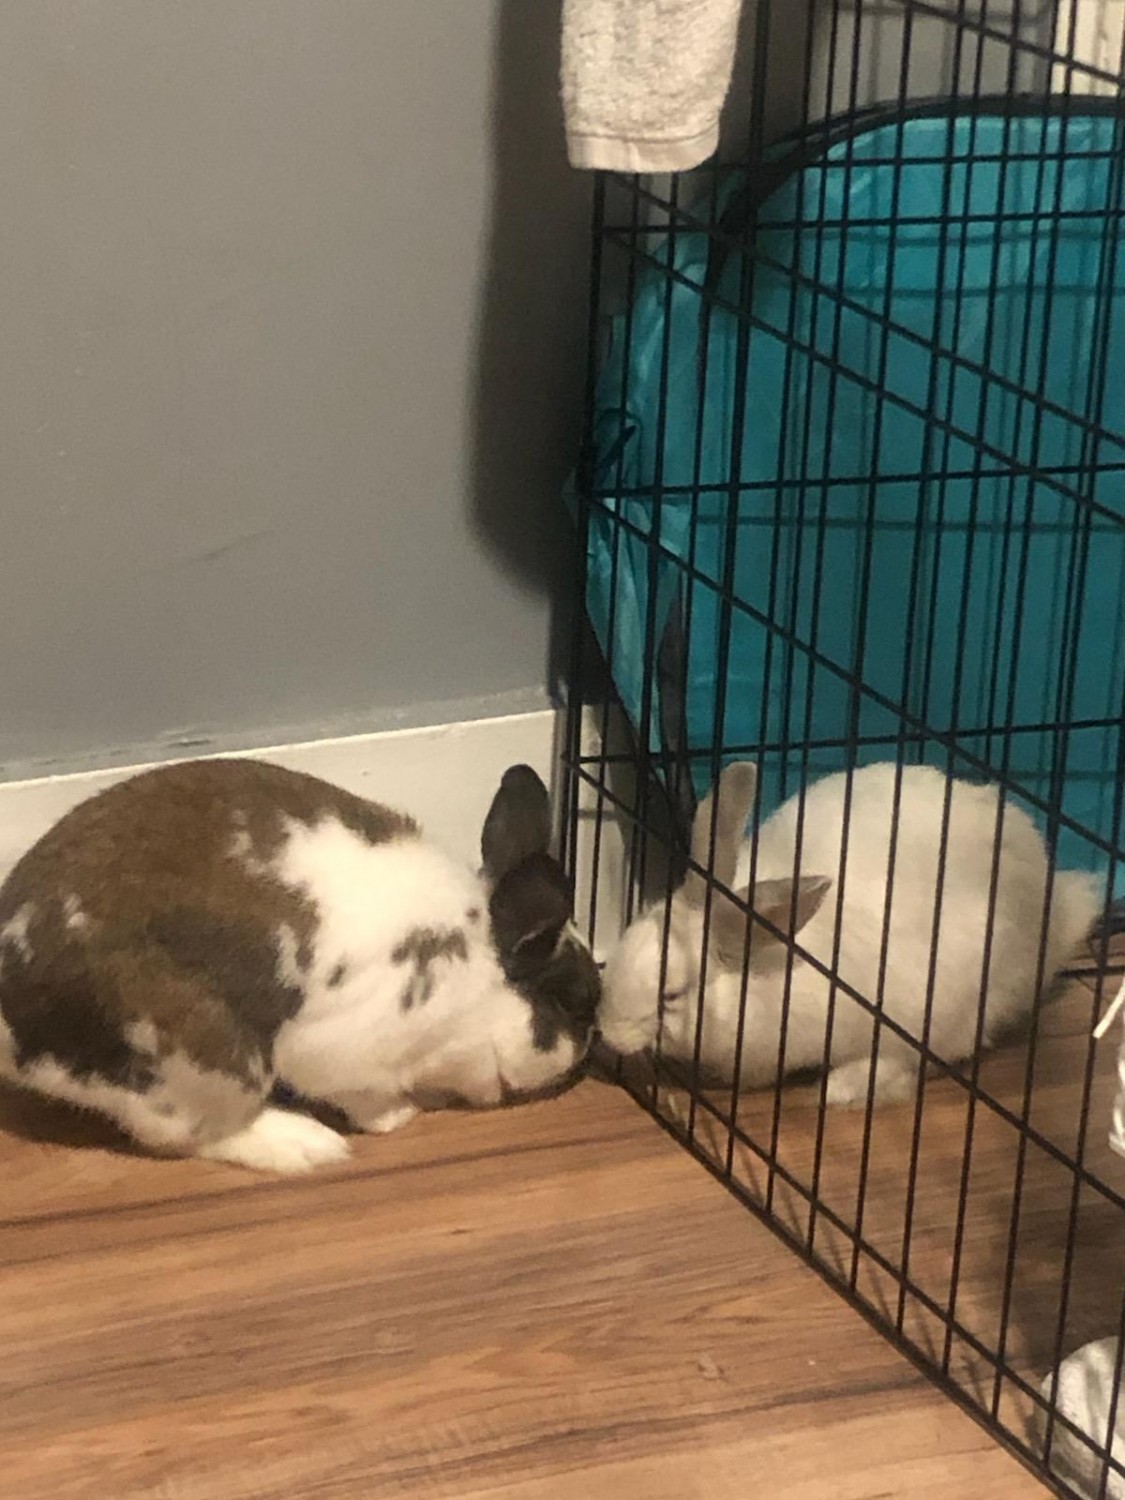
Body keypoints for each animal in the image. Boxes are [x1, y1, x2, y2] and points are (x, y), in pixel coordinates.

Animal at [0, 757, 600, 1172]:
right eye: (574, 1005)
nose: (587, 1053)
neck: (479, 984)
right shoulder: (345, 1056)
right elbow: (367, 1099)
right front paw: (400, 1115)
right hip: (204, 1058)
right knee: (186, 1134)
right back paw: (307, 1145)